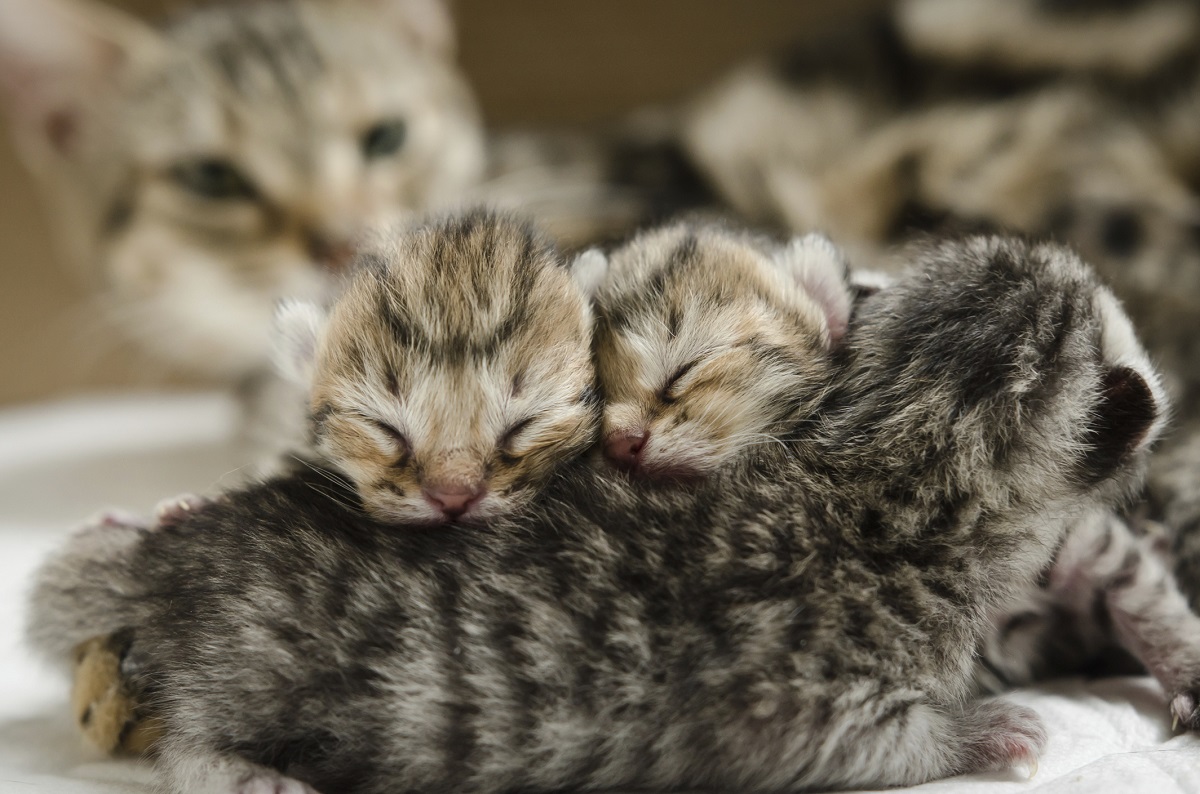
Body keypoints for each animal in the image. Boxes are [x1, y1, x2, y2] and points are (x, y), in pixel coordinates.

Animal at [25, 236, 1171, 794]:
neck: (900, 457)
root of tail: (173, 555)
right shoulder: (798, 689)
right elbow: (852, 749)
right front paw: (989, 730)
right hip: (247, 665)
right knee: (188, 738)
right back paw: (240, 772)